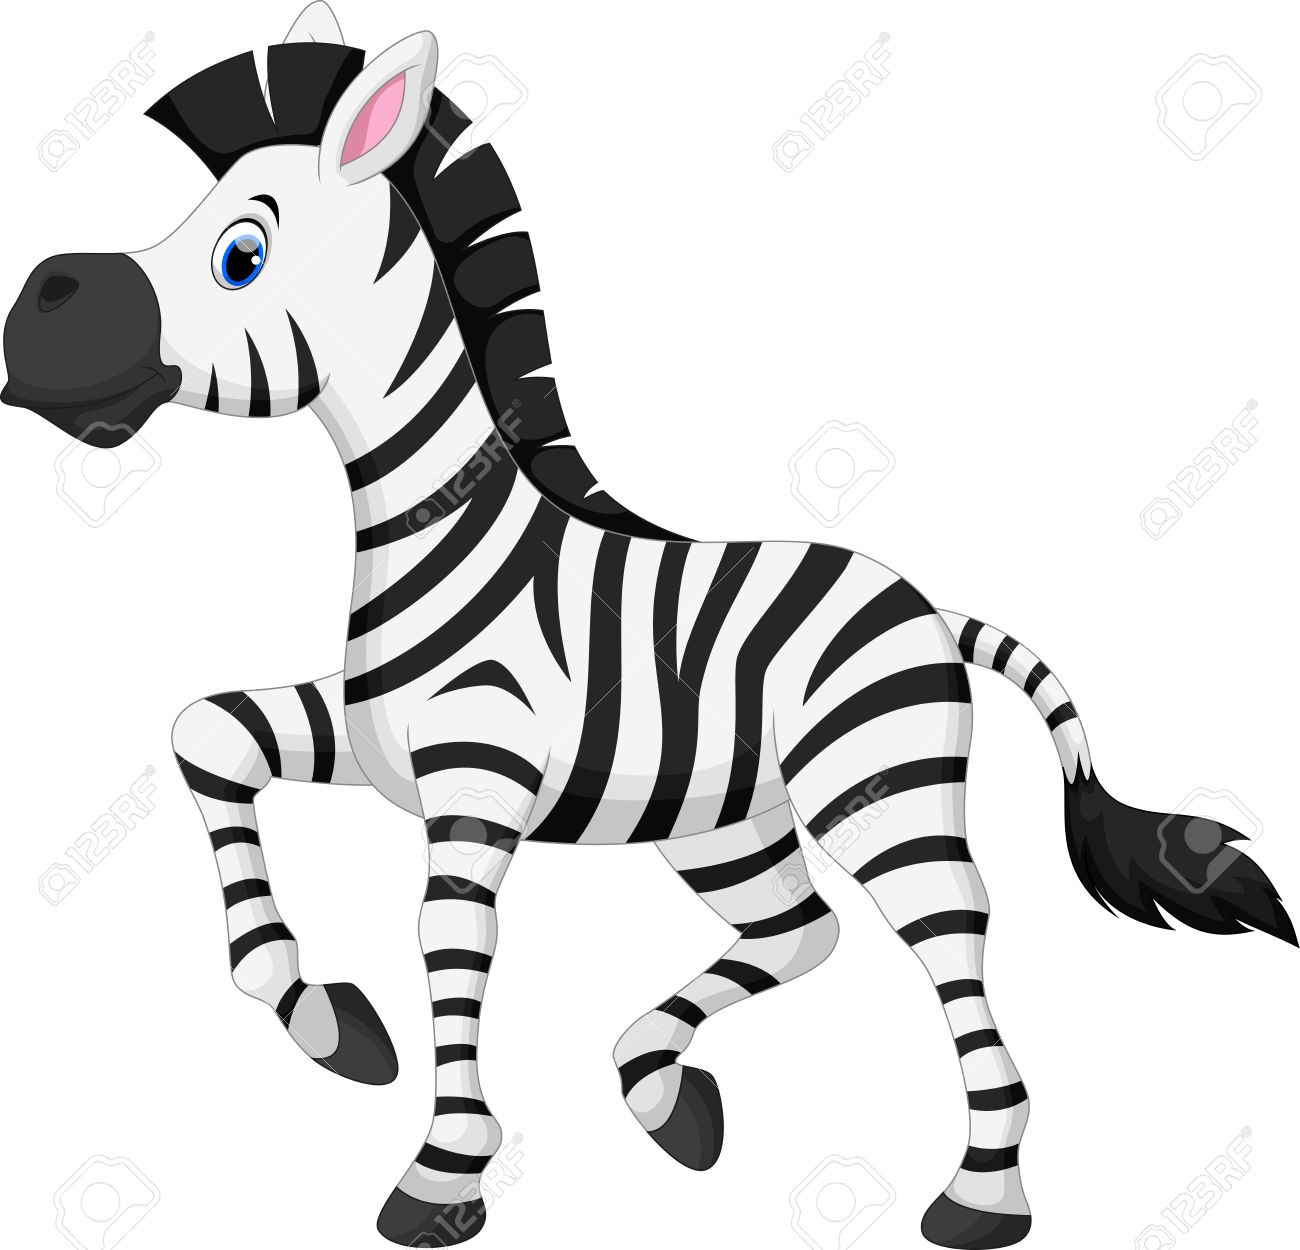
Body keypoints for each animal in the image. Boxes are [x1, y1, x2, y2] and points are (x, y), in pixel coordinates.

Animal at [2, 6, 1292, 1248]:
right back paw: (664, 1090)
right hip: (725, 822)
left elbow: (446, 934)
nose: (36, 310)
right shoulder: (371, 741)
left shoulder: (477, 773)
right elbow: (208, 732)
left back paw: (981, 1195)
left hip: (879, 792)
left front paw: (442, 1171)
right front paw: (327, 1021)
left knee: (950, 930)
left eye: (241, 254)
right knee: (804, 928)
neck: (434, 527)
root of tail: (928, 604)